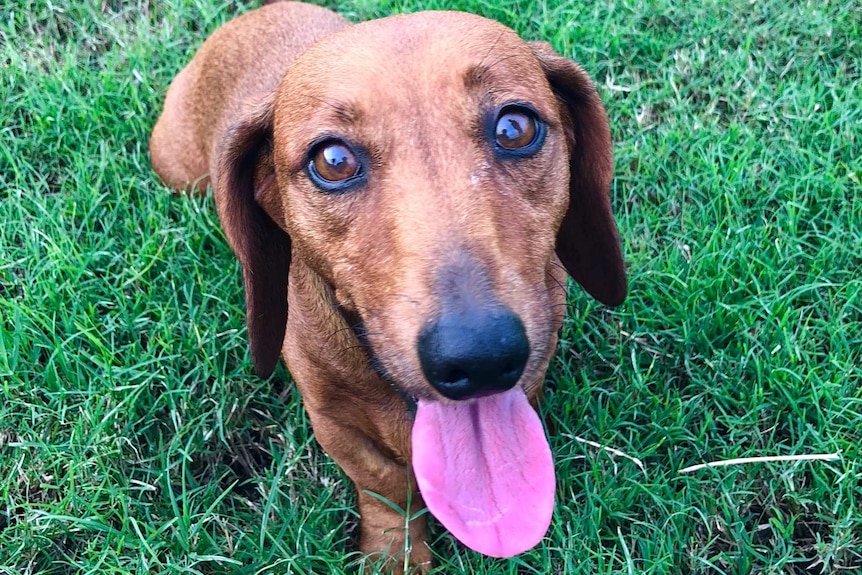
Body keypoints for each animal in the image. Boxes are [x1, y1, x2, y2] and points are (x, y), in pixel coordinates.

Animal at [150, 2, 628, 572]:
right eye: (332, 161)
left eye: (515, 127)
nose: (481, 357)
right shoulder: (332, 421)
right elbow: (386, 484)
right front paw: (393, 552)